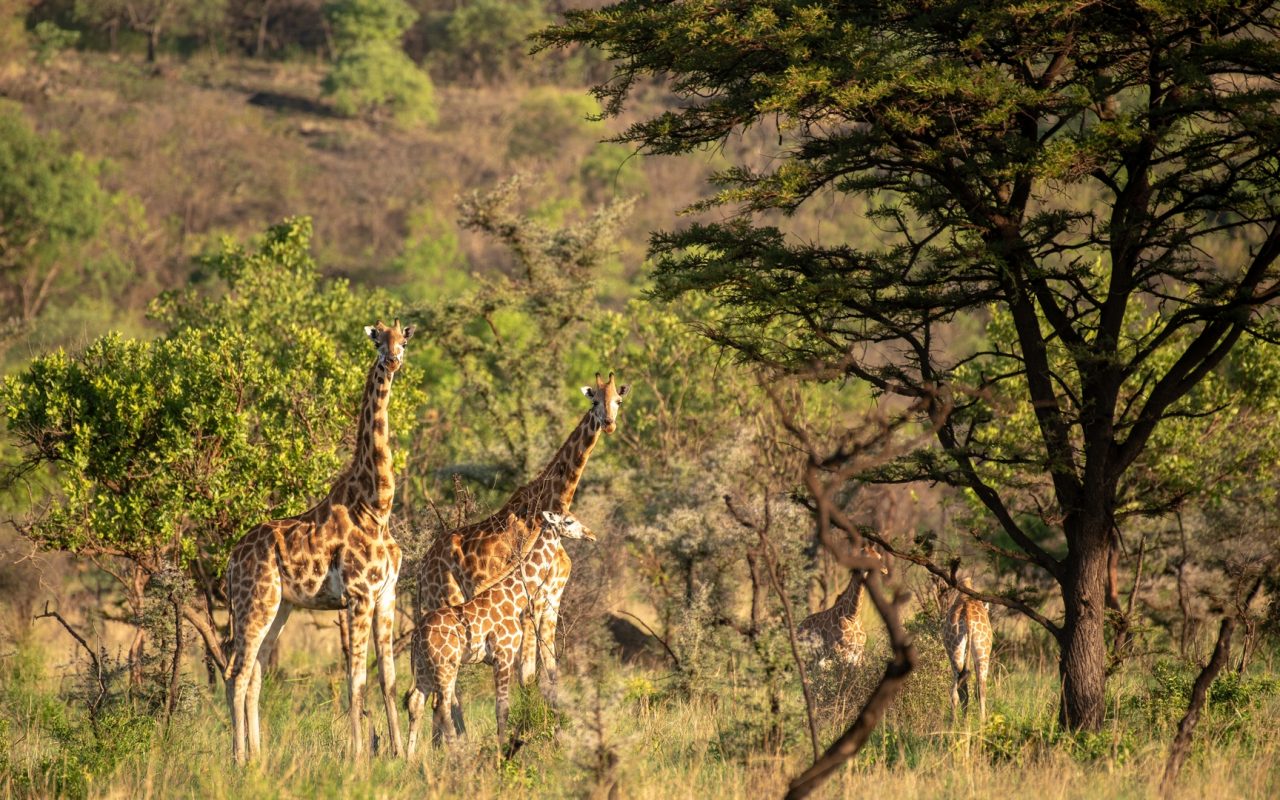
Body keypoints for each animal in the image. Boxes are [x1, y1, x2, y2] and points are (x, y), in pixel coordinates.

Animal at [224, 316, 414, 762]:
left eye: (404, 340)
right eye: (378, 341)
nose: (392, 361)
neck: (377, 505)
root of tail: (230, 560)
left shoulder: (387, 594)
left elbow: (389, 679)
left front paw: (399, 753)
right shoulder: (359, 596)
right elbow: (356, 680)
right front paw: (360, 756)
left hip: (280, 606)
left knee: (254, 674)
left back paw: (259, 756)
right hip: (254, 602)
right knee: (237, 672)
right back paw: (239, 758)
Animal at [404, 509, 593, 752]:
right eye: (569, 521)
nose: (590, 534)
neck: (513, 597)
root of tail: (416, 635)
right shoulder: (504, 655)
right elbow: (502, 707)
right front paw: (502, 751)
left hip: (423, 666)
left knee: (417, 702)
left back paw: (409, 757)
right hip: (445, 666)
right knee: (442, 705)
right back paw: (455, 754)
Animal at [412, 371, 627, 732]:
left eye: (618, 400)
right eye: (594, 399)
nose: (608, 423)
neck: (548, 501)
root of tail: (420, 573)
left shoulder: (552, 599)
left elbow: (549, 671)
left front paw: (552, 726)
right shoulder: (532, 601)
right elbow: (527, 675)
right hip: (446, 600)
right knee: (448, 688)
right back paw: (459, 739)